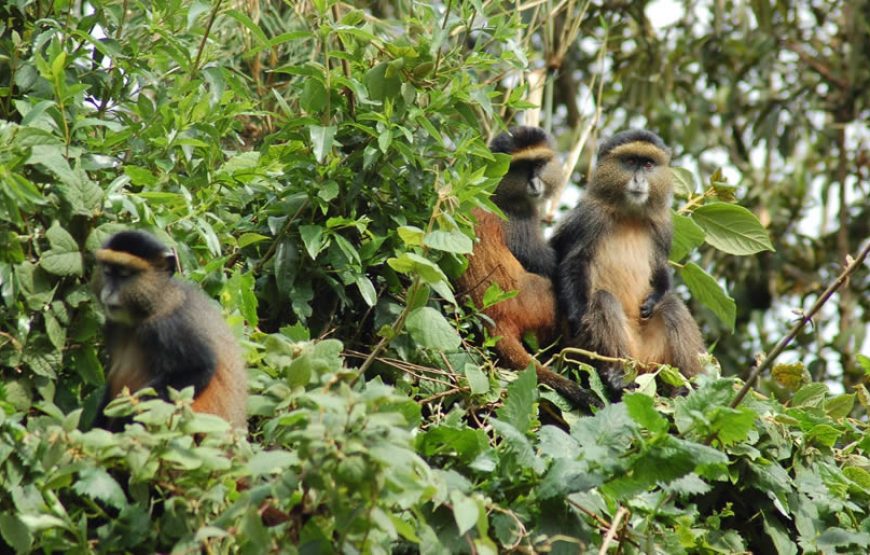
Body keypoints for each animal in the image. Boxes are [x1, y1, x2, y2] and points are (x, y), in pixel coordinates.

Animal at [456, 126, 600, 410]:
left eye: (540, 163)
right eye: (522, 166)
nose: (535, 183)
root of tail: (496, 317)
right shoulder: (519, 217)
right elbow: (549, 264)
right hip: (538, 305)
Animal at [550, 129, 706, 394]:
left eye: (648, 164)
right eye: (631, 161)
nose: (639, 180)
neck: (629, 214)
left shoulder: (663, 227)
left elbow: (660, 269)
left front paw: (654, 298)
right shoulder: (588, 217)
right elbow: (574, 261)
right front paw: (576, 318)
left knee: (672, 305)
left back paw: (689, 385)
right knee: (602, 300)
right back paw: (616, 376)